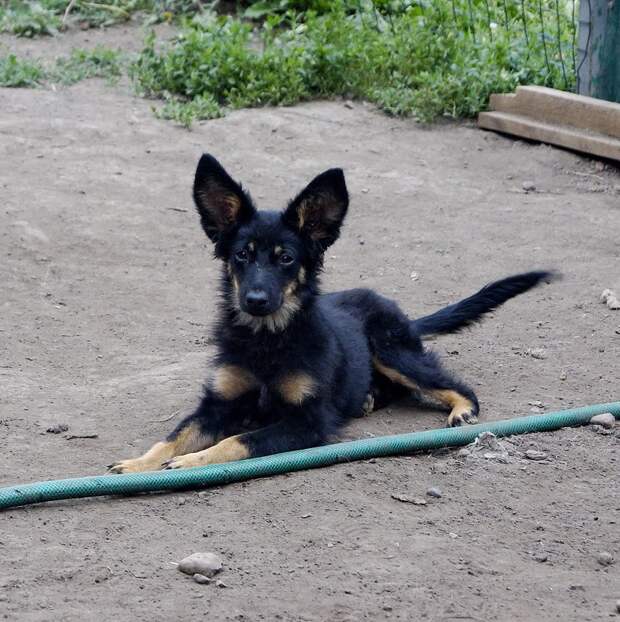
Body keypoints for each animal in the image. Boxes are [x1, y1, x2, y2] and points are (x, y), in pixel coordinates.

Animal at [109, 155, 556, 472]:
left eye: (286, 258)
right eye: (242, 256)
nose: (254, 300)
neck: (267, 338)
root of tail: (402, 315)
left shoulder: (309, 421)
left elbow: (236, 441)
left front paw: (190, 462)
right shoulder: (217, 404)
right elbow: (173, 436)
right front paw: (139, 463)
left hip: (391, 350)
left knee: (454, 384)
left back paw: (461, 409)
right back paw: (369, 398)